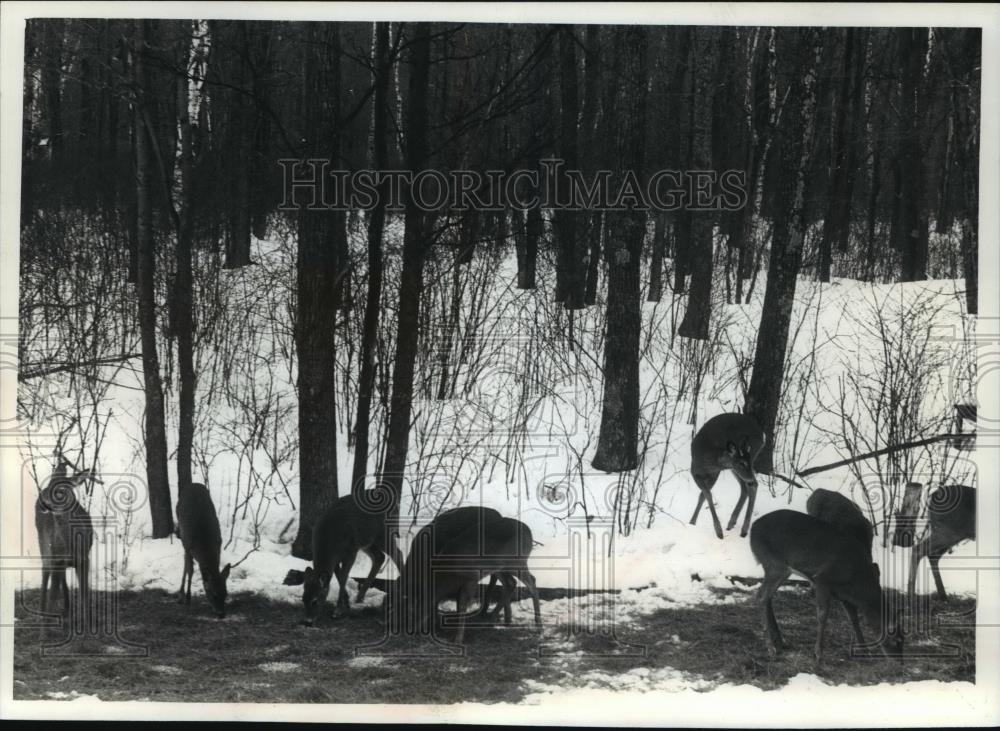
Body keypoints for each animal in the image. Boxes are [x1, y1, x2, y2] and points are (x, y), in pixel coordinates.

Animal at [35, 464, 95, 616]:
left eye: (61, 490)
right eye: (49, 486)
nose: (43, 503)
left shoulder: (84, 559)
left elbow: (84, 595)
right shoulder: (56, 559)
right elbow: (53, 595)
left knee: (62, 579)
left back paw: (67, 608)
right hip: (44, 546)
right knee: (45, 572)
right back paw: (42, 611)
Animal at [177, 484, 231, 620]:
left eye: (226, 593)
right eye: (214, 594)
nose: (221, 614)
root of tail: (192, 484)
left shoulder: (219, 545)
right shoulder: (188, 547)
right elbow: (190, 570)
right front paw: (187, 598)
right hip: (182, 534)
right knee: (185, 565)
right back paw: (181, 595)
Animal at [282, 488, 406, 628]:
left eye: (315, 601)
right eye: (303, 599)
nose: (307, 621)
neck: (328, 543)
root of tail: (394, 498)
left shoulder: (351, 551)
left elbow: (343, 577)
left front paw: (338, 610)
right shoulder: (336, 559)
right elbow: (339, 576)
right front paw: (346, 602)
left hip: (383, 533)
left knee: (398, 554)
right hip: (367, 541)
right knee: (380, 557)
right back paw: (359, 597)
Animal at [394, 506, 544, 644]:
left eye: (413, 612)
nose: (409, 630)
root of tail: (530, 533)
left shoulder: (471, 579)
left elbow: (461, 605)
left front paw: (457, 638)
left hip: (516, 562)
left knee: (531, 581)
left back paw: (538, 627)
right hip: (499, 567)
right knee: (511, 583)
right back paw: (493, 620)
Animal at [752, 508, 908, 668]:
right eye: (897, 641)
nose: (900, 662)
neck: (858, 578)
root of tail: (752, 529)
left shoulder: (843, 593)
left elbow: (853, 618)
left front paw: (865, 651)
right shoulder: (822, 579)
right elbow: (822, 615)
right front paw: (818, 655)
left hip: (778, 569)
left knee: (767, 598)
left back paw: (780, 641)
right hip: (775, 565)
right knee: (761, 597)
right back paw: (771, 648)